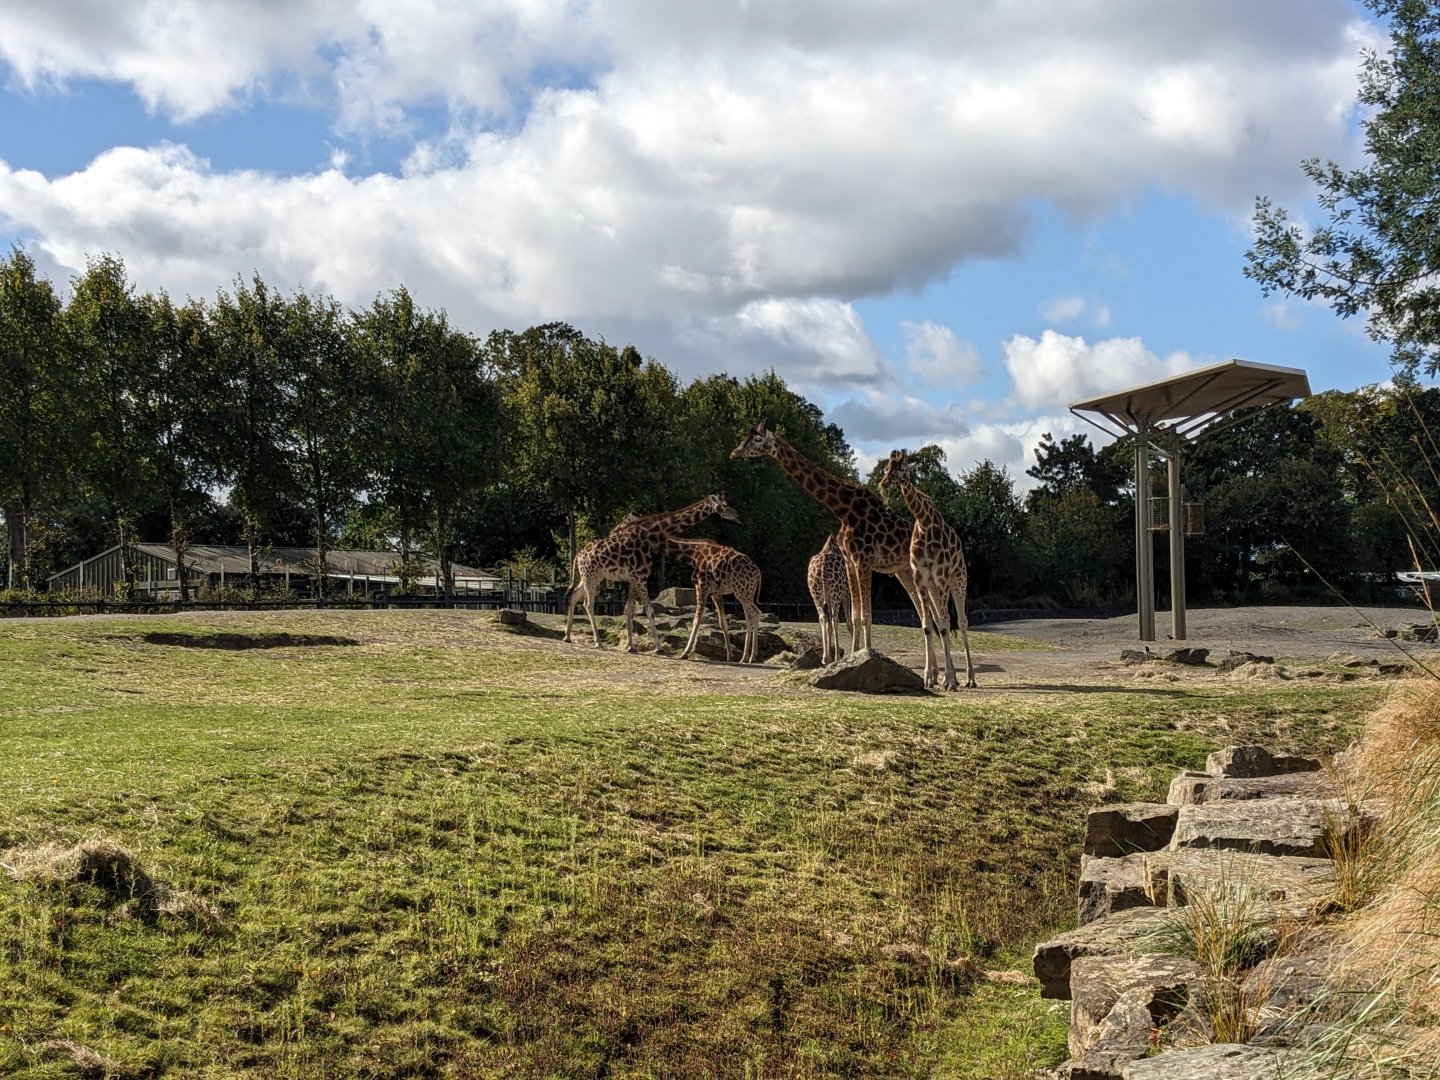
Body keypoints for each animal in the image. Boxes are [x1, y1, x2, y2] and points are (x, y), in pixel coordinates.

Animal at [564, 494, 740, 653]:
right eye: (725, 505)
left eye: (731, 502)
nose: (737, 517)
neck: (649, 536)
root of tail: (578, 556)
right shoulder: (639, 577)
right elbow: (649, 611)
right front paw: (658, 647)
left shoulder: (635, 578)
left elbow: (630, 609)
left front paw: (631, 646)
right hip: (591, 575)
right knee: (588, 603)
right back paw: (598, 643)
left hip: (592, 576)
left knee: (574, 595)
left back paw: (567, 637)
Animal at [806, 533, 851, 665]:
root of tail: (822, 566)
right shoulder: (846, 592)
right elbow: (849, 622)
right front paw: (855, 650)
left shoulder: (828, 598)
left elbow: (829, 625)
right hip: (836, 592)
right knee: (835, 620)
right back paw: (836, 657)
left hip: (816, 593)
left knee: (823, 618)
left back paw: (825, 658)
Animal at [880, 449, 976, 690]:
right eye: (886, 467)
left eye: (902, 468)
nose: (884, 482)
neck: (923, 521)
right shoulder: (921, 577)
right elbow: (927, 625)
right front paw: (929, 677)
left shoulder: (941, 575)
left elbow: (944, 624)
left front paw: (949, 680)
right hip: (934, 586)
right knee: (942, 620)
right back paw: (953, 677)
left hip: (958, 578)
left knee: (960, 621)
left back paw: (969, 678)